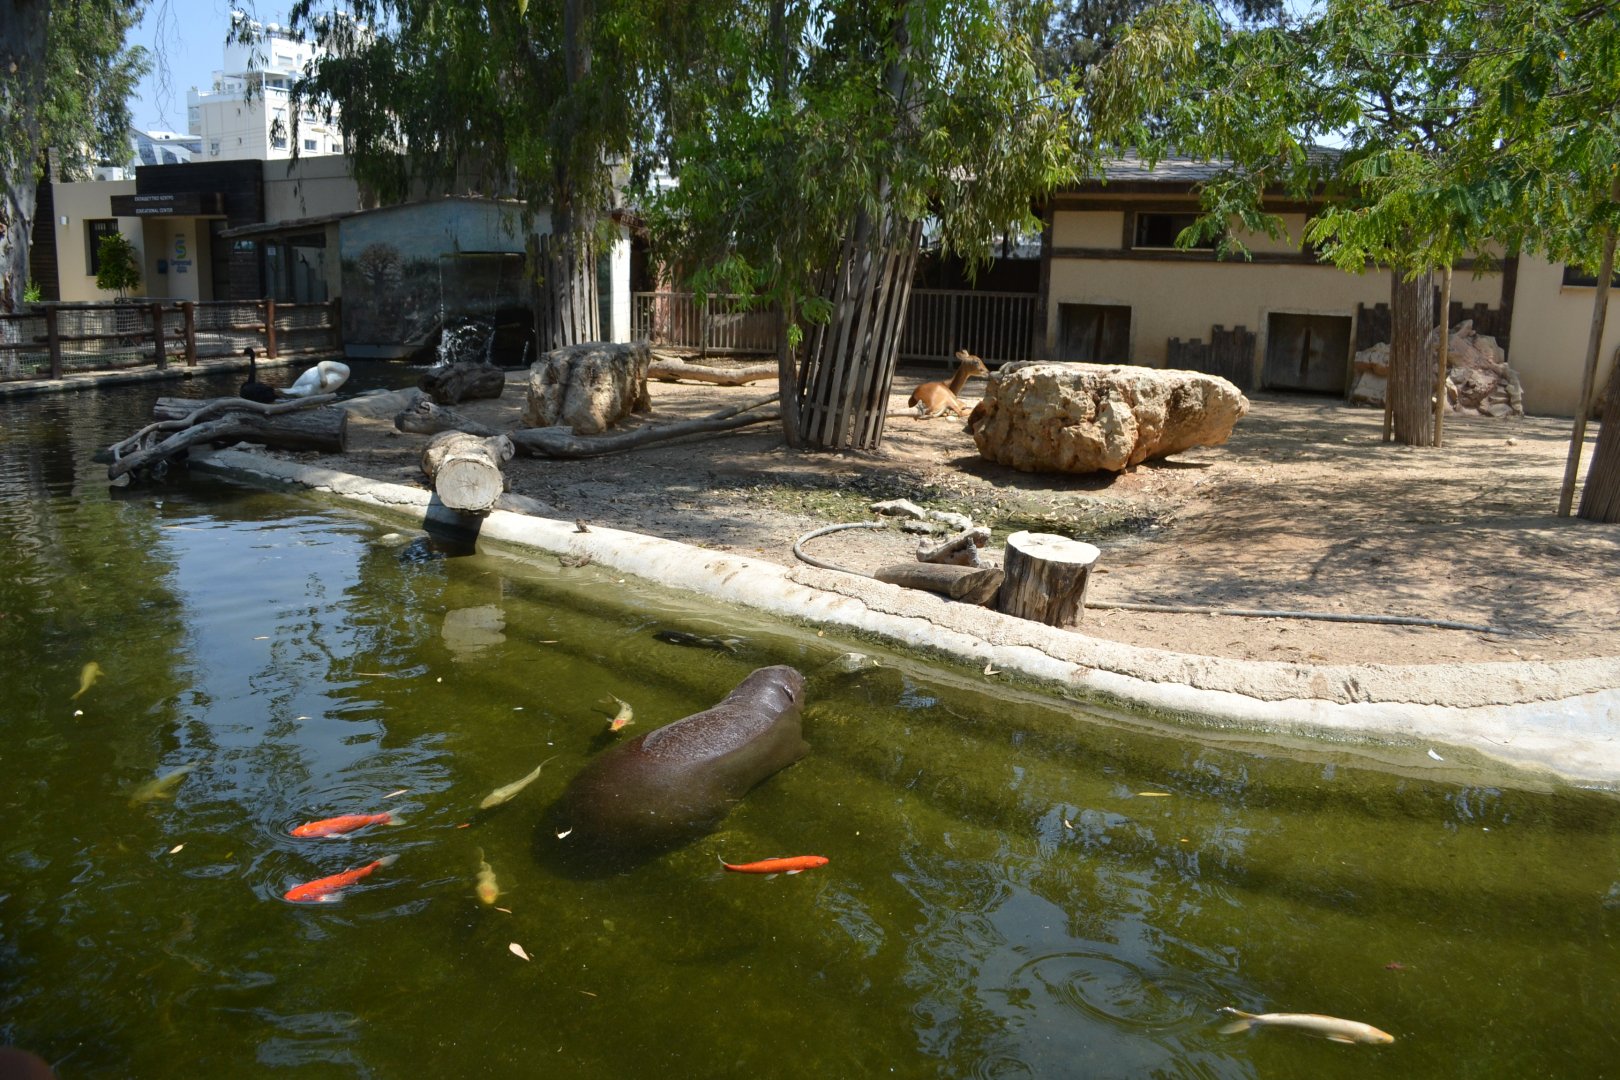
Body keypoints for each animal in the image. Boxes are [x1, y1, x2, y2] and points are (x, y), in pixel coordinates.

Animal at [540, 665, 807, 874]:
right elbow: (802, 749)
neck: (755, 701)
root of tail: (577, 815)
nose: (797, 669)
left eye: (768, 668)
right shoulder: (794, 741)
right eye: (794, 676)